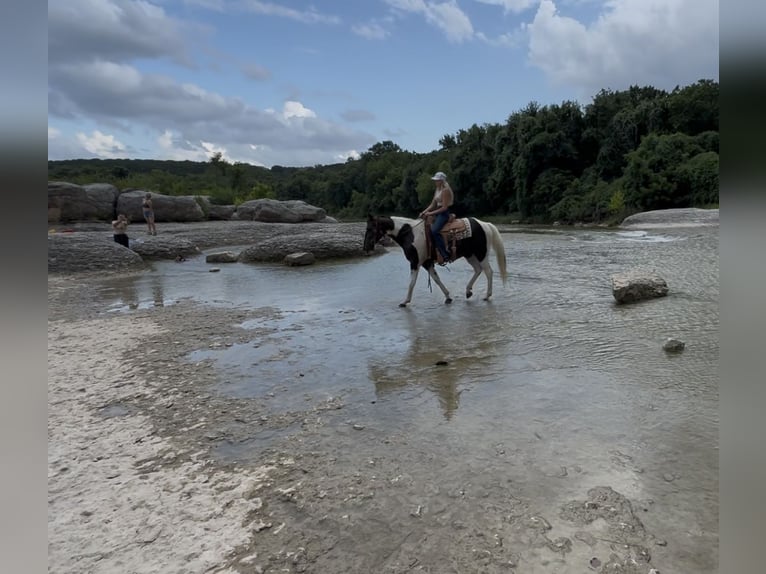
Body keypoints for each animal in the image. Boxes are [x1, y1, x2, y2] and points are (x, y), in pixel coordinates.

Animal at [363, 214, 508, 307]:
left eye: (370, 228)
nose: (366, 248)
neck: (410, 234)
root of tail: (485, 224)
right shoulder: (427, 263)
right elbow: (436, 279)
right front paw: (448, 297)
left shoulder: (415, 262)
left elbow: (412, 282)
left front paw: (405, 301)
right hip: (470, 255)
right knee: (478, 269)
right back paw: (468, 291)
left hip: (481, 253)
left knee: (488, 271)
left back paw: (487, 295)